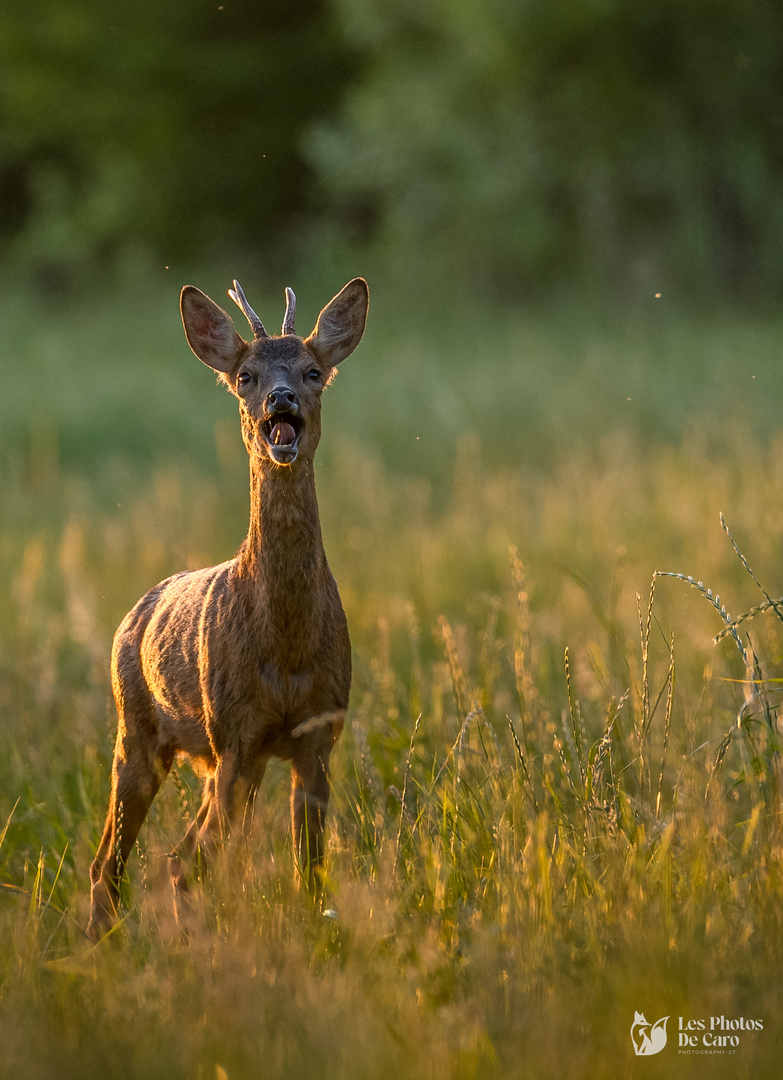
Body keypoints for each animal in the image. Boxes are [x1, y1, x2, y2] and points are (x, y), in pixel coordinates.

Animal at [86, 276, 367, 937]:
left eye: (314, 371)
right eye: (246, 376)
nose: (281, 398)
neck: (286, 646)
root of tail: (133, 615)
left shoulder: (316, 735)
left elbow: (309, 868)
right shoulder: (236, 732)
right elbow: (217, 863)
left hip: (225, 760)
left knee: (176, 855)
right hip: (138, 730)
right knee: (118, 859)